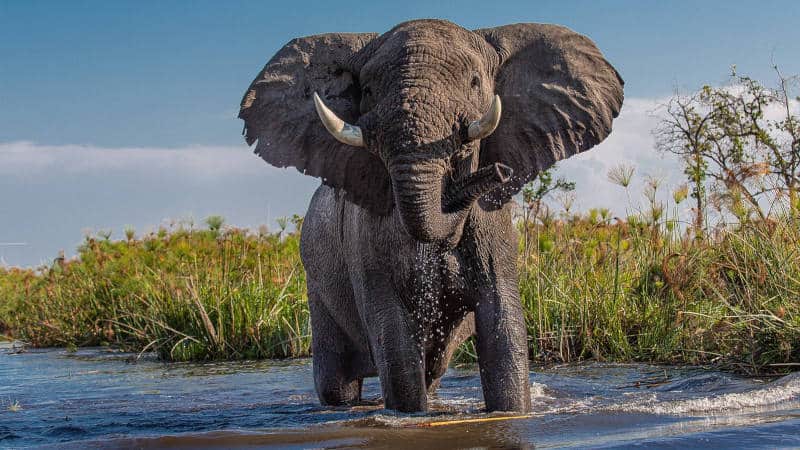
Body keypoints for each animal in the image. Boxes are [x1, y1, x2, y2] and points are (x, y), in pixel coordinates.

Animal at [239, 19, 623, 413]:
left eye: (474, 82)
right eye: (368, 90)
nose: (499, 172)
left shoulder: (494, 228)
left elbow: (503, 325)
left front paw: (511, 413)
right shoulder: (365, 238)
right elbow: (392, 335)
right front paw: (409, 417)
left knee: (431, 373)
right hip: (317, 283)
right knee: (338, 383)